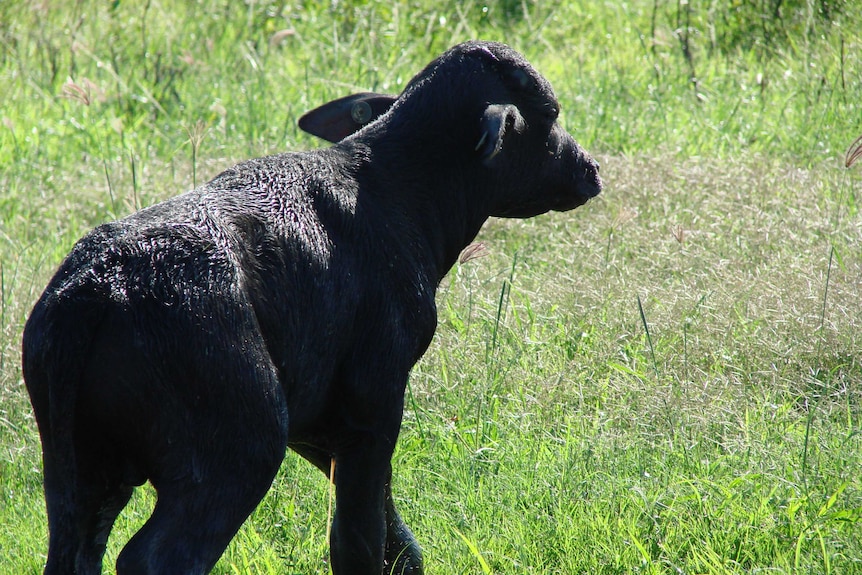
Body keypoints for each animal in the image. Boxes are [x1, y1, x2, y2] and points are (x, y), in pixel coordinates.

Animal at [20, 40, 600, 575]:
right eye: (549, 114)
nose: (590, 169)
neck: (395, 190)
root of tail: (99, 285)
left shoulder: (318, 422)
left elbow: (395, 538)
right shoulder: (373, 404)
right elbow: (358, 540)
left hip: (78, 473)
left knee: (76, 550)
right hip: (237, 449)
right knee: (158, 557)